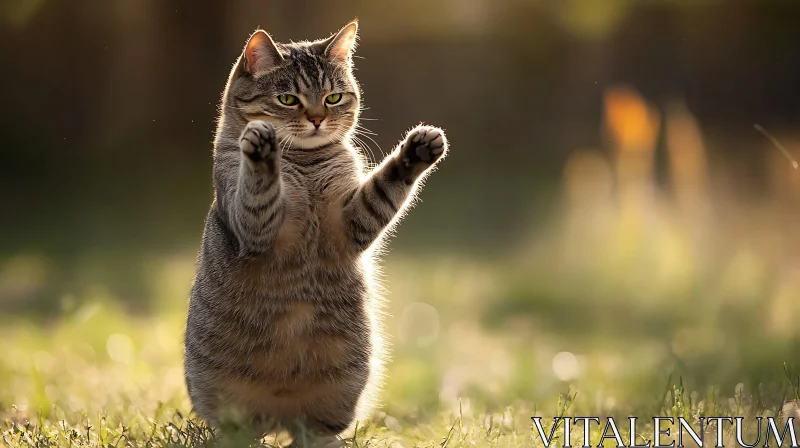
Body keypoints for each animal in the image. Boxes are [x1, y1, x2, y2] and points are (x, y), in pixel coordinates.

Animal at [184, 19, 450, 446]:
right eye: (289, 99)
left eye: (334, 97)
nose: (316, 119)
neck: (305, 162)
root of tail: (279, 420)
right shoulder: (253, 226)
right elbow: (258, 188)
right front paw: (262, 150)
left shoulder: (354, 219)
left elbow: (386, 185)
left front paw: (418, 150)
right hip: (229, 410)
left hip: (340, 390)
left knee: (317, 434)